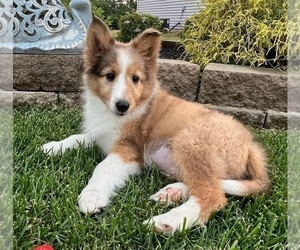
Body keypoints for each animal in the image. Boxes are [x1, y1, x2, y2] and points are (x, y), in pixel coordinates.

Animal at [43, 17, 270, 234]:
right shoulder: (102, 134)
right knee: (212, 184)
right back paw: (172, 193)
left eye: (135, 78)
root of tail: (250, 145)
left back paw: (167, 222)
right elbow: (79, 137)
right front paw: (53, 147)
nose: (123, 106)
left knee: (213, 196)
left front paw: (92, 197)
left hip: (190, 142)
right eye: (110, 76)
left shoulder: (129, 149)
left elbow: (103, 167)